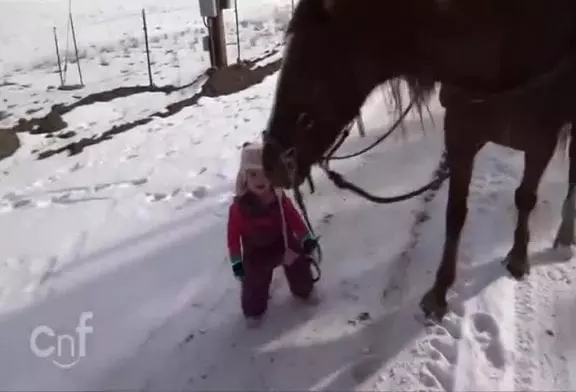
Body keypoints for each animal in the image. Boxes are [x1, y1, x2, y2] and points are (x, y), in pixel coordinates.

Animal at [260, 0, 576, 322]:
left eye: (309, 64)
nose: (270, 162)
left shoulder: (542, 141)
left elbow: (525, 198)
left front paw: (518, 257)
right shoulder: (461, 138)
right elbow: (455, 214)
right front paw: (439, 292)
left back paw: (565, 236)